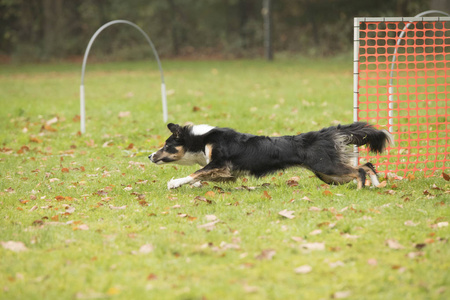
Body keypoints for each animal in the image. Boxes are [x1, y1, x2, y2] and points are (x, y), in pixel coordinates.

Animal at [149, 122, 392, 190]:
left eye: (167, 145)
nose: (150, 156)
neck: (201, 140)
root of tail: (324, 133)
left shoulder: (221, 163)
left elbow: (196, 172)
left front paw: (175, 183)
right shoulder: (226, 171)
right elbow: (201, 175)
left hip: (327, 167)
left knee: (359, 169)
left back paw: (361, 189)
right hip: (329, 174)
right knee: (367, 164)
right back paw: (375, 184)